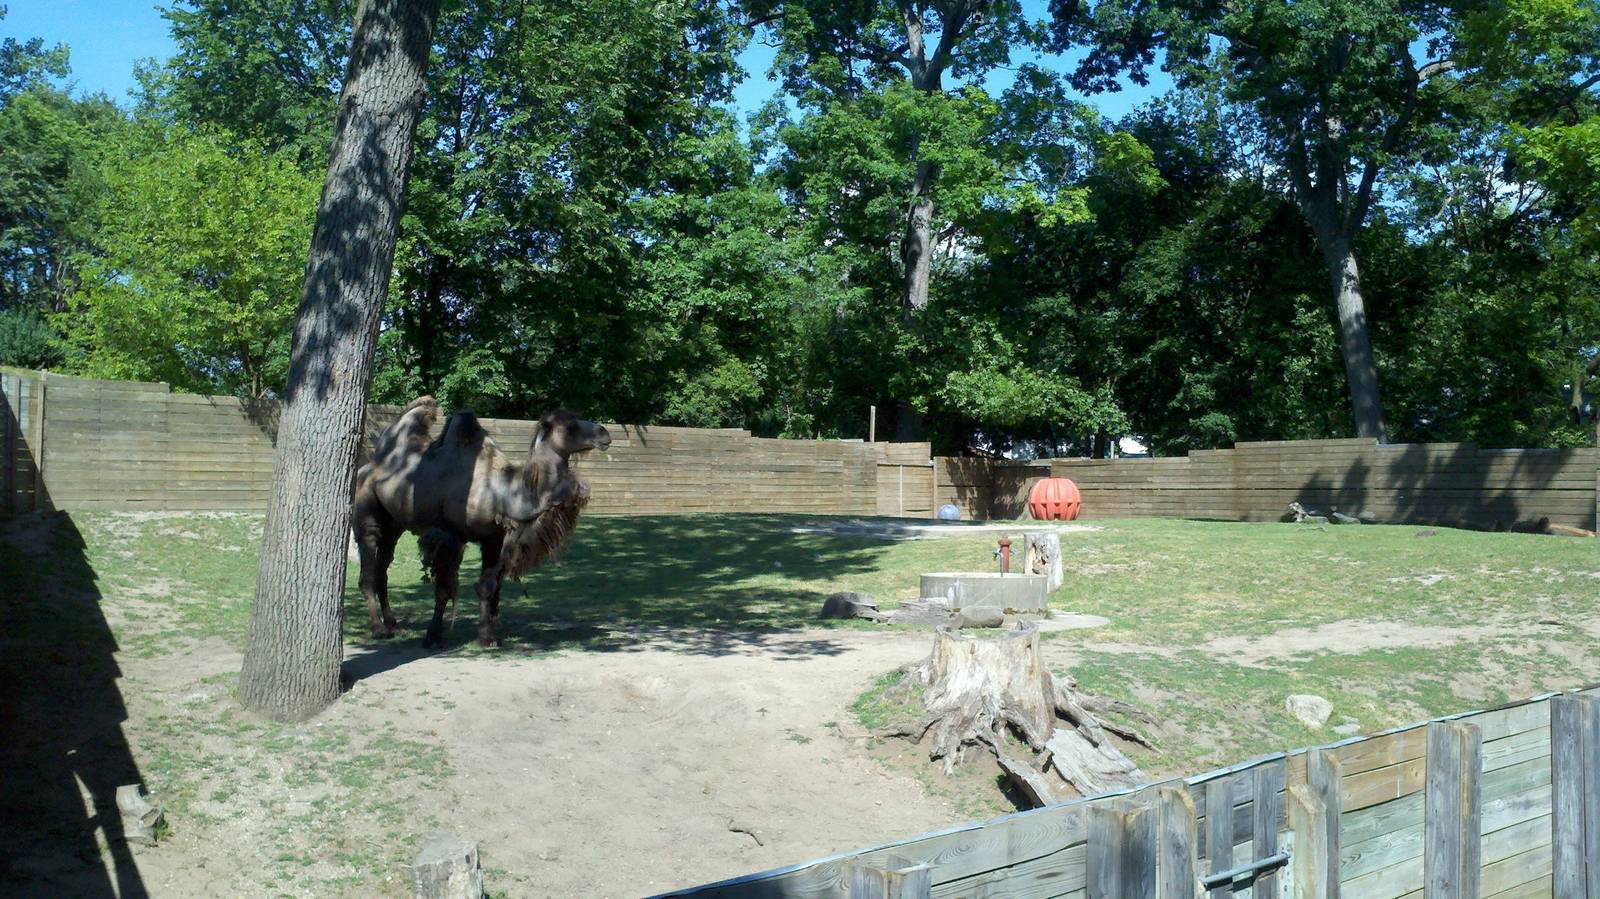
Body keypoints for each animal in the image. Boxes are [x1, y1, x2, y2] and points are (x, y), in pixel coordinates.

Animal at [351, 397, 611, 648]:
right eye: (568, 425)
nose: (604, 432)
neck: (503, 492)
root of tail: (368, 465)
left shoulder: (493, 537)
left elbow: (488, 586)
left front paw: (487, 636)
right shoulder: (449, 534)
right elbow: (444, 588)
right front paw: (433, 636)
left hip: (395, 524)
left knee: (382, 569)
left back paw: (394, 625)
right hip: (366, 510)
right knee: (368, 566)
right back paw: (378, 629)